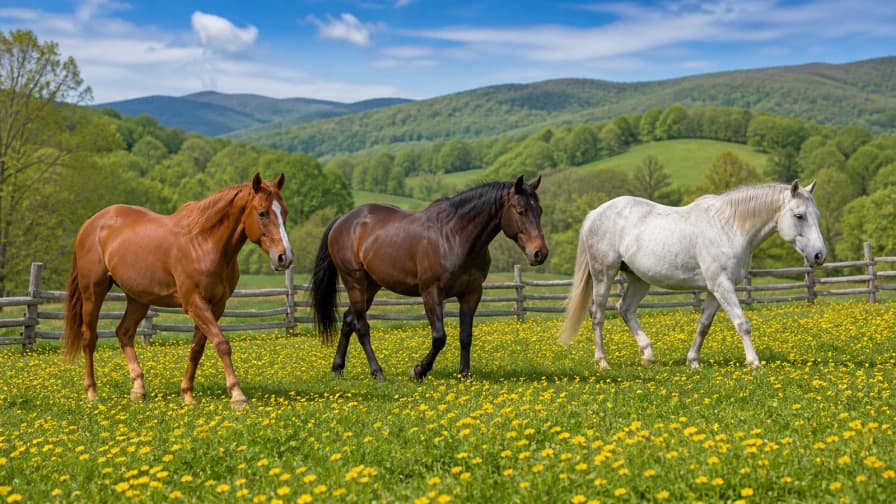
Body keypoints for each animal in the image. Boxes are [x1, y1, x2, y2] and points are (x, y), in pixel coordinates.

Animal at [62, 173, 293, 408]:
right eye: (262, 213)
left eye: (284, 212)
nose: (284, 257)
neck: (204, 242)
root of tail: (91, 224)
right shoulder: (195, 303)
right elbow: (221, 344)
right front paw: (237, 395)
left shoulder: (216, 305)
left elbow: (197, 348)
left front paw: (188, 394)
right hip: (93, 293)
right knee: (89, 337)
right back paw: (92, 392)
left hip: (138, 298)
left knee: (124, 332)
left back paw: (138, 389)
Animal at [310, 176, 548, 381]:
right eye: (520, 210)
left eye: (540, 211)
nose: (540, 253)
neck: (453, 236)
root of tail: (343, 221)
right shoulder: (431, 293)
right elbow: (439, 337)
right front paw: (418, 370)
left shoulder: (471, 294)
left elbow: (465, 335)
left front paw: (464, 374)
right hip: (355, 283)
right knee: (361, 327)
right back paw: (377, 373)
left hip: (371, 286)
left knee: (348, 320)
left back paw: (338, 368)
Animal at [559, 180, 826, 369]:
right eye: (799, 215)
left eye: (817, 215)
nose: (819, 255)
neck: (729, 227)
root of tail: (595, 213)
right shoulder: (722, 286)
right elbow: (742, 323)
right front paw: (754, 362)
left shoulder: (715, 289)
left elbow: (703, 325)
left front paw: (693, 361)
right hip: (603, 275)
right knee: (598, 315)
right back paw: (603, 362)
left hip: (639, 279)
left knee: (625, 309)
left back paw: (648, 355)